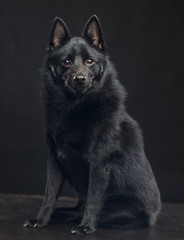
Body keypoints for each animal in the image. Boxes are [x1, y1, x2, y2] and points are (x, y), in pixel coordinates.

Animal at [23, 15, 160, 234]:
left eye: (90, 61)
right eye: (66, 62)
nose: (80, 79)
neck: (75, 107)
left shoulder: (99, 164)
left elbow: (94, 199)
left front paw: (86, 226)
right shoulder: (54, 160)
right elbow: (49, 196)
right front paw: (41, 219)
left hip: (118, 208)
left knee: (91, 209)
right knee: (75, 208)